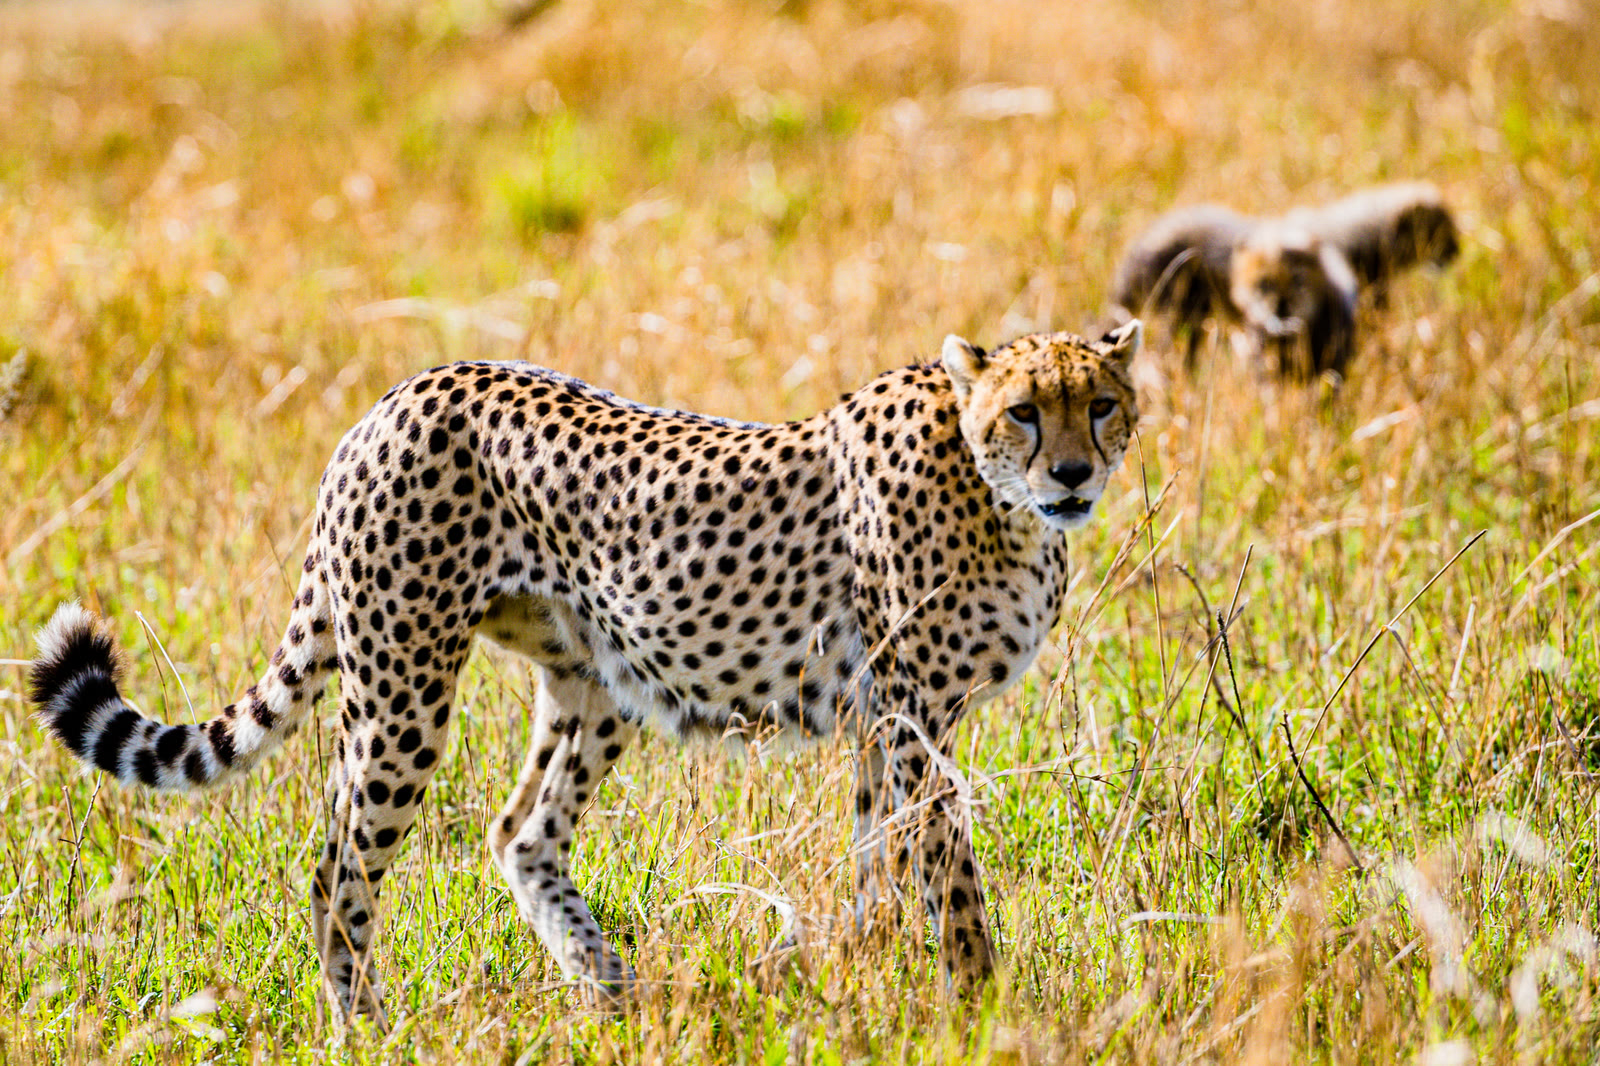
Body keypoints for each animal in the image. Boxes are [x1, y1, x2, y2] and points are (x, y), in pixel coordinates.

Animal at [29, 321, 1143, 1026]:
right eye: (1023, 413)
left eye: (1100, 404)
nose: (1074, 473)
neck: (999, 502)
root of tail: (397, 393)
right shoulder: (912, 717)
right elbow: (949, 874)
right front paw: (980, 1006)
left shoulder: (882, 722)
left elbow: (879, 865)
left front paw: (862, 983)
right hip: (402, 684)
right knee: (338, 863)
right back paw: (365, 1029)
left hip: (597, 682)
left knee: (519, 830)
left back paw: (611, 990)